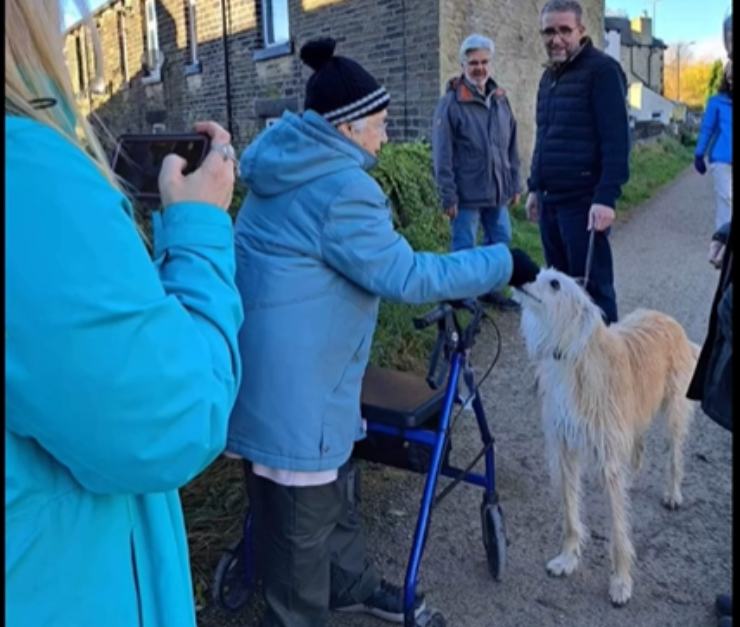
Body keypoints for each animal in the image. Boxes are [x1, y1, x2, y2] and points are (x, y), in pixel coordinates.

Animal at [516, 270, 696, 608]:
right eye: (541, 273)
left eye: (555, 283)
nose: (520, 276)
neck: (571, 355)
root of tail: (668, 319)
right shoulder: (564, 451)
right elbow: (571, 513)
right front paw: (568, 559)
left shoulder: (608, 458)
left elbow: (618, 529)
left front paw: (621, 581)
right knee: (638, 446)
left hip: (674, 412)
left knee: (674, 454)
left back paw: (673, 492)